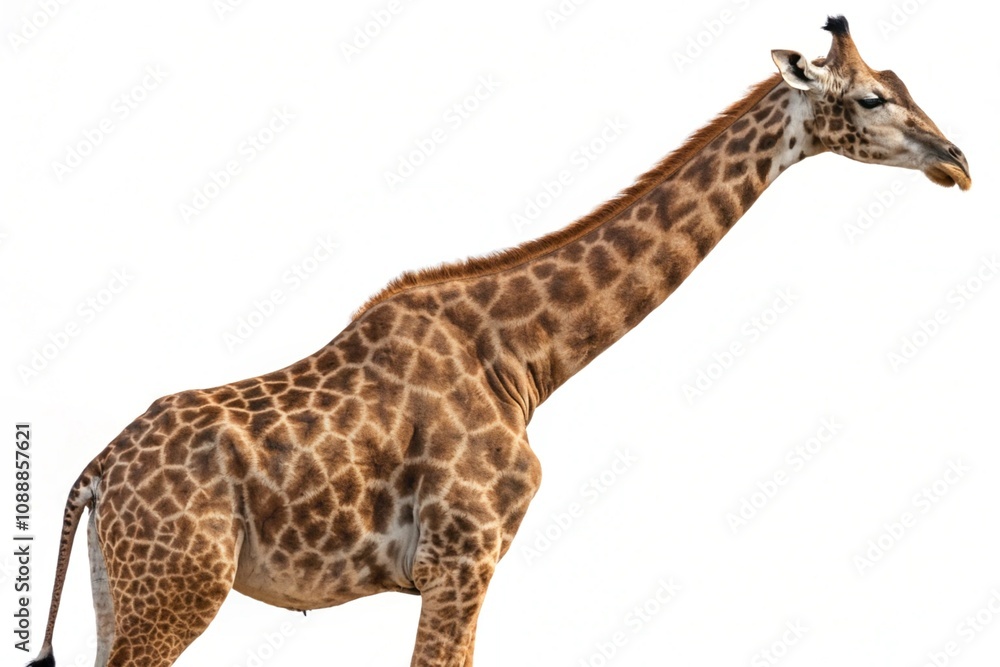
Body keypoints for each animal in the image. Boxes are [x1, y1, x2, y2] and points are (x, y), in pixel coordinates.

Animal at [30, 16, 969, 667]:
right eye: (872, 97)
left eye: (900, 81)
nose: (956, 160)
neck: (521, 358)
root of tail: (95, 472)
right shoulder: (462, 554)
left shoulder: (466, 565)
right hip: (178, 589)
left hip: (121, 590)